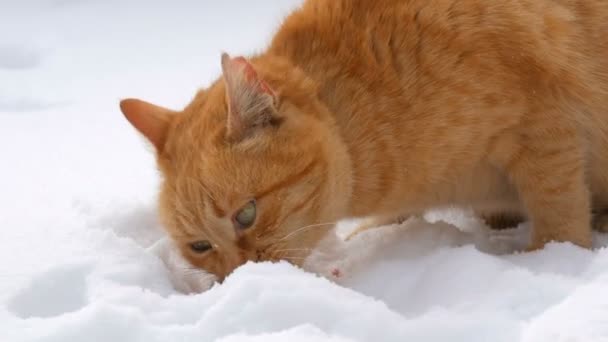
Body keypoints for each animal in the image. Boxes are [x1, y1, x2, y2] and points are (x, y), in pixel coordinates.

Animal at [120, 0, 608, 282]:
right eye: (199, 247)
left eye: (246, 214)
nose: (239, 276)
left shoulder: (543, 131)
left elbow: (558, 214)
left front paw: (551, 263)